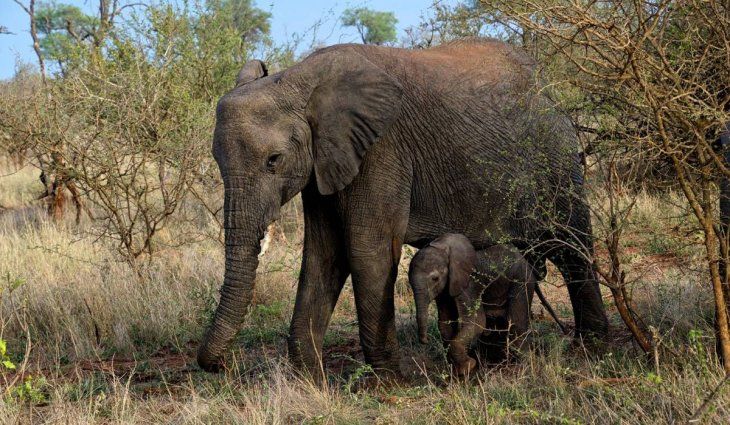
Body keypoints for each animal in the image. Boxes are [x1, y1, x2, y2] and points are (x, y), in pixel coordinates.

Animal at [408, 233, 536, 376]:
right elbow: (445, 324)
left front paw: (468, 366)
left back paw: (520, 368)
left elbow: (477, 322)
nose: (425, 340)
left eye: (435, 278)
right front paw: (457, 371)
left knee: (516, 323)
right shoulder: (445, 290)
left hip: (522, 281)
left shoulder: (469, 283)